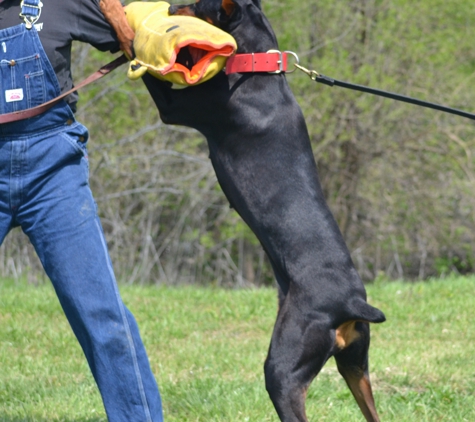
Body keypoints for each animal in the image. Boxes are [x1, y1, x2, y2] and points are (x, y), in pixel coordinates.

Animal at [103, 0, 386, 420]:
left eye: (194, 4)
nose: (169, 7)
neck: (257, 66)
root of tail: (350, 304)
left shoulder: (180, 107)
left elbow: (149, 70)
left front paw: (122, 29)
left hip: (284, 367)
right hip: (355, 362)